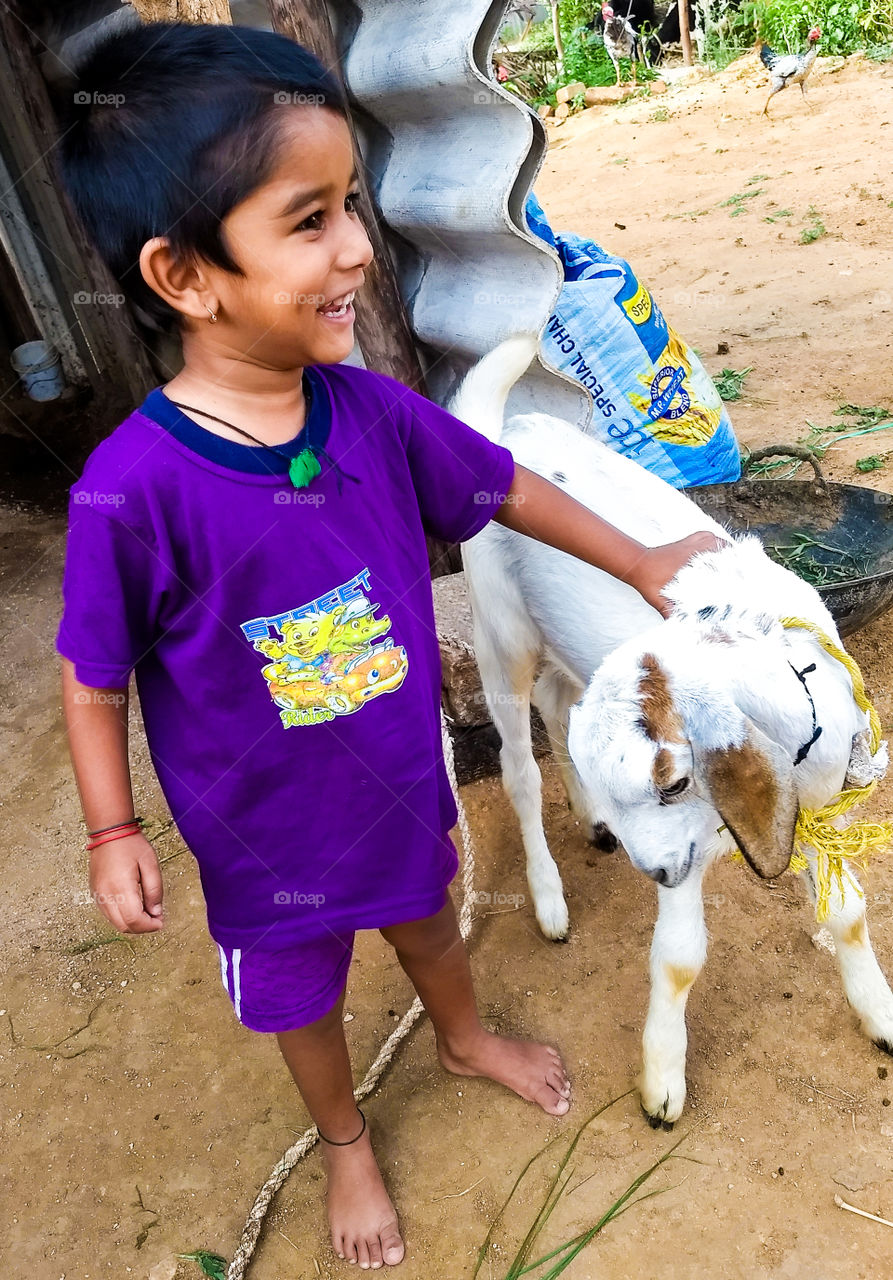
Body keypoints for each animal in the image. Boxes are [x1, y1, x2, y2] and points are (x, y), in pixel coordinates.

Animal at [452, 335, 890, 1126]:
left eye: (675, 780)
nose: (650, 871)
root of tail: (507, 434)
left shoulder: (819, 802)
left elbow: (847, 913)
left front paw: (879, 1013)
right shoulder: (691, 843)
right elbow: (681, 957)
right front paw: (661, 1080)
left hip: (564, 655)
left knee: (559, 703)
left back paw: (589, 819)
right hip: (499, 632)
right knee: (519, 768)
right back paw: (549, 896)